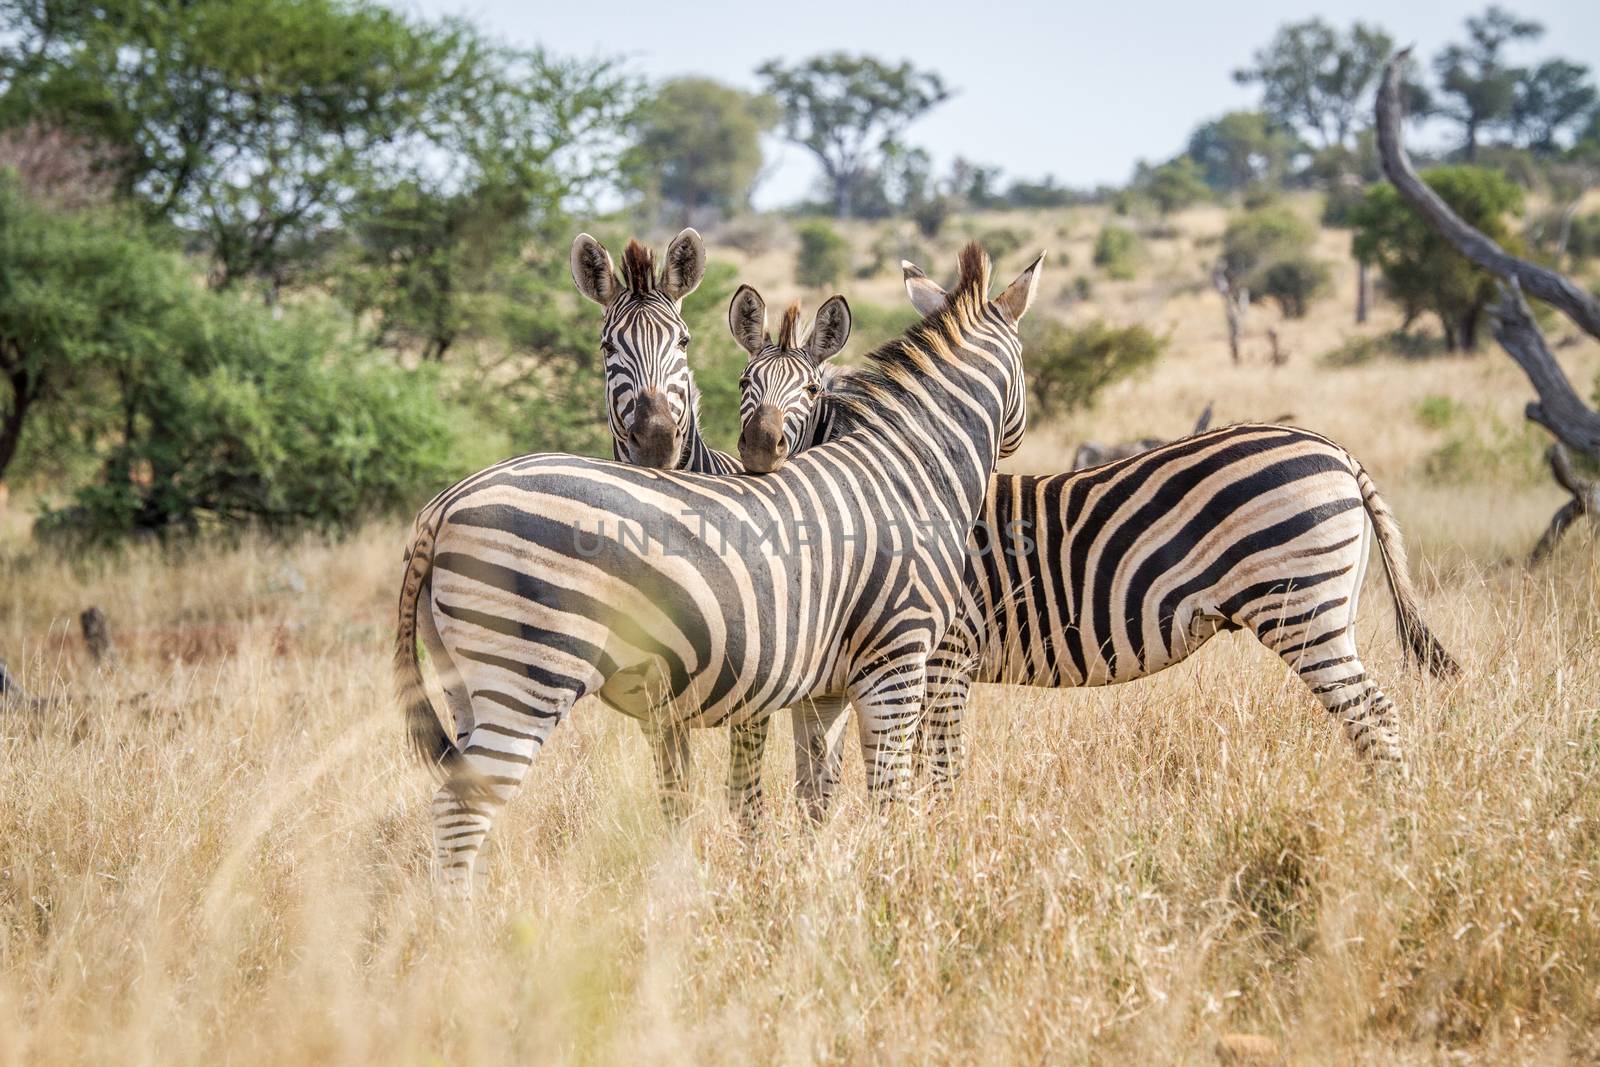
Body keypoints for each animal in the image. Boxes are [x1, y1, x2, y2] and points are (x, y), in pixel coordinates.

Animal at [395, 244, 1043, 895]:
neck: (906, 468)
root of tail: (446, 503)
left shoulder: (827, 687)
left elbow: (816, 793)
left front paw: (811, 885)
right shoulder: (896, 660)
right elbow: (890, 797)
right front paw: (900, 883)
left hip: (466, 681)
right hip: (527, 675)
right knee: (462, 808)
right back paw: (462, 924)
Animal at [732, 260, 1459, 809]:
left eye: (815, 388)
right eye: (744, 383)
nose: (760, 449)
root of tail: (1334, 449)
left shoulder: (943, 655)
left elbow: (936, 770)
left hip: (1302, 607)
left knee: (1372, 712)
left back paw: (1393, 824)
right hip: (1324, 608)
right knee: (1371, 711)